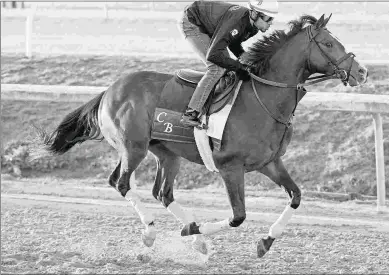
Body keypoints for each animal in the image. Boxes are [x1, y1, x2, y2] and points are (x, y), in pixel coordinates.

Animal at [34, 13, 366, 258]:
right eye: (328, 43)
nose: (361, 72)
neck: (264, 99)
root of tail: (109, 90)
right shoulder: (230, 167)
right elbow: (237, 216)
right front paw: (193, 232)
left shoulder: (270, 162)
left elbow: (295, 196)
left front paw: (265, 242)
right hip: (133, 147)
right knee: (121, 183)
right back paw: (153, 232)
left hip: (166, 153)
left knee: (162, 193)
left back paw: (195, 237)